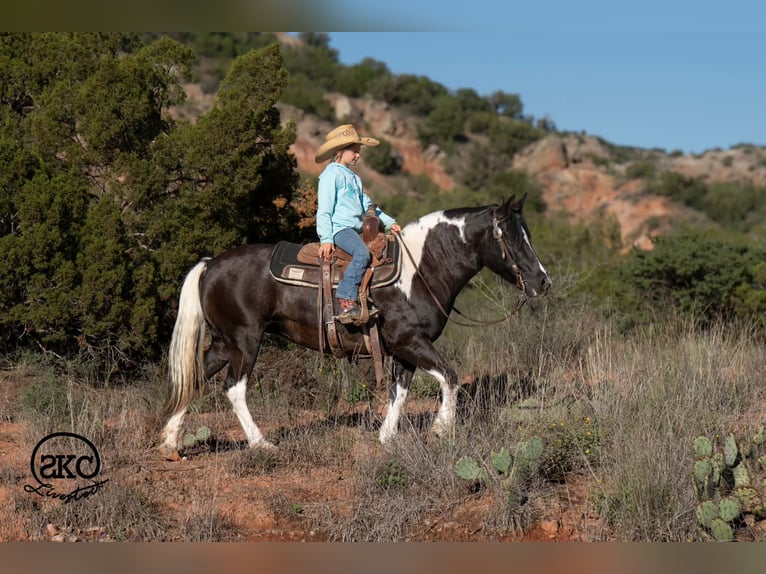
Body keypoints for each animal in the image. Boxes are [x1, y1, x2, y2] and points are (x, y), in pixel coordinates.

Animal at [158, 194, 551, 460]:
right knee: (234, 388)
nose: (543, 282)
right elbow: (450, 377)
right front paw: (442, 431)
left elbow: (399, 391)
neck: (421, 269)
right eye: (513, 238)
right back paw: (261, 443)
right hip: (245, 341)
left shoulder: (404, 349)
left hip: (224, 343)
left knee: (193, 379)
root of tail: (209, 265)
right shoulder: (411, 341)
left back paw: (170, 443)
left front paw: (387, 438)